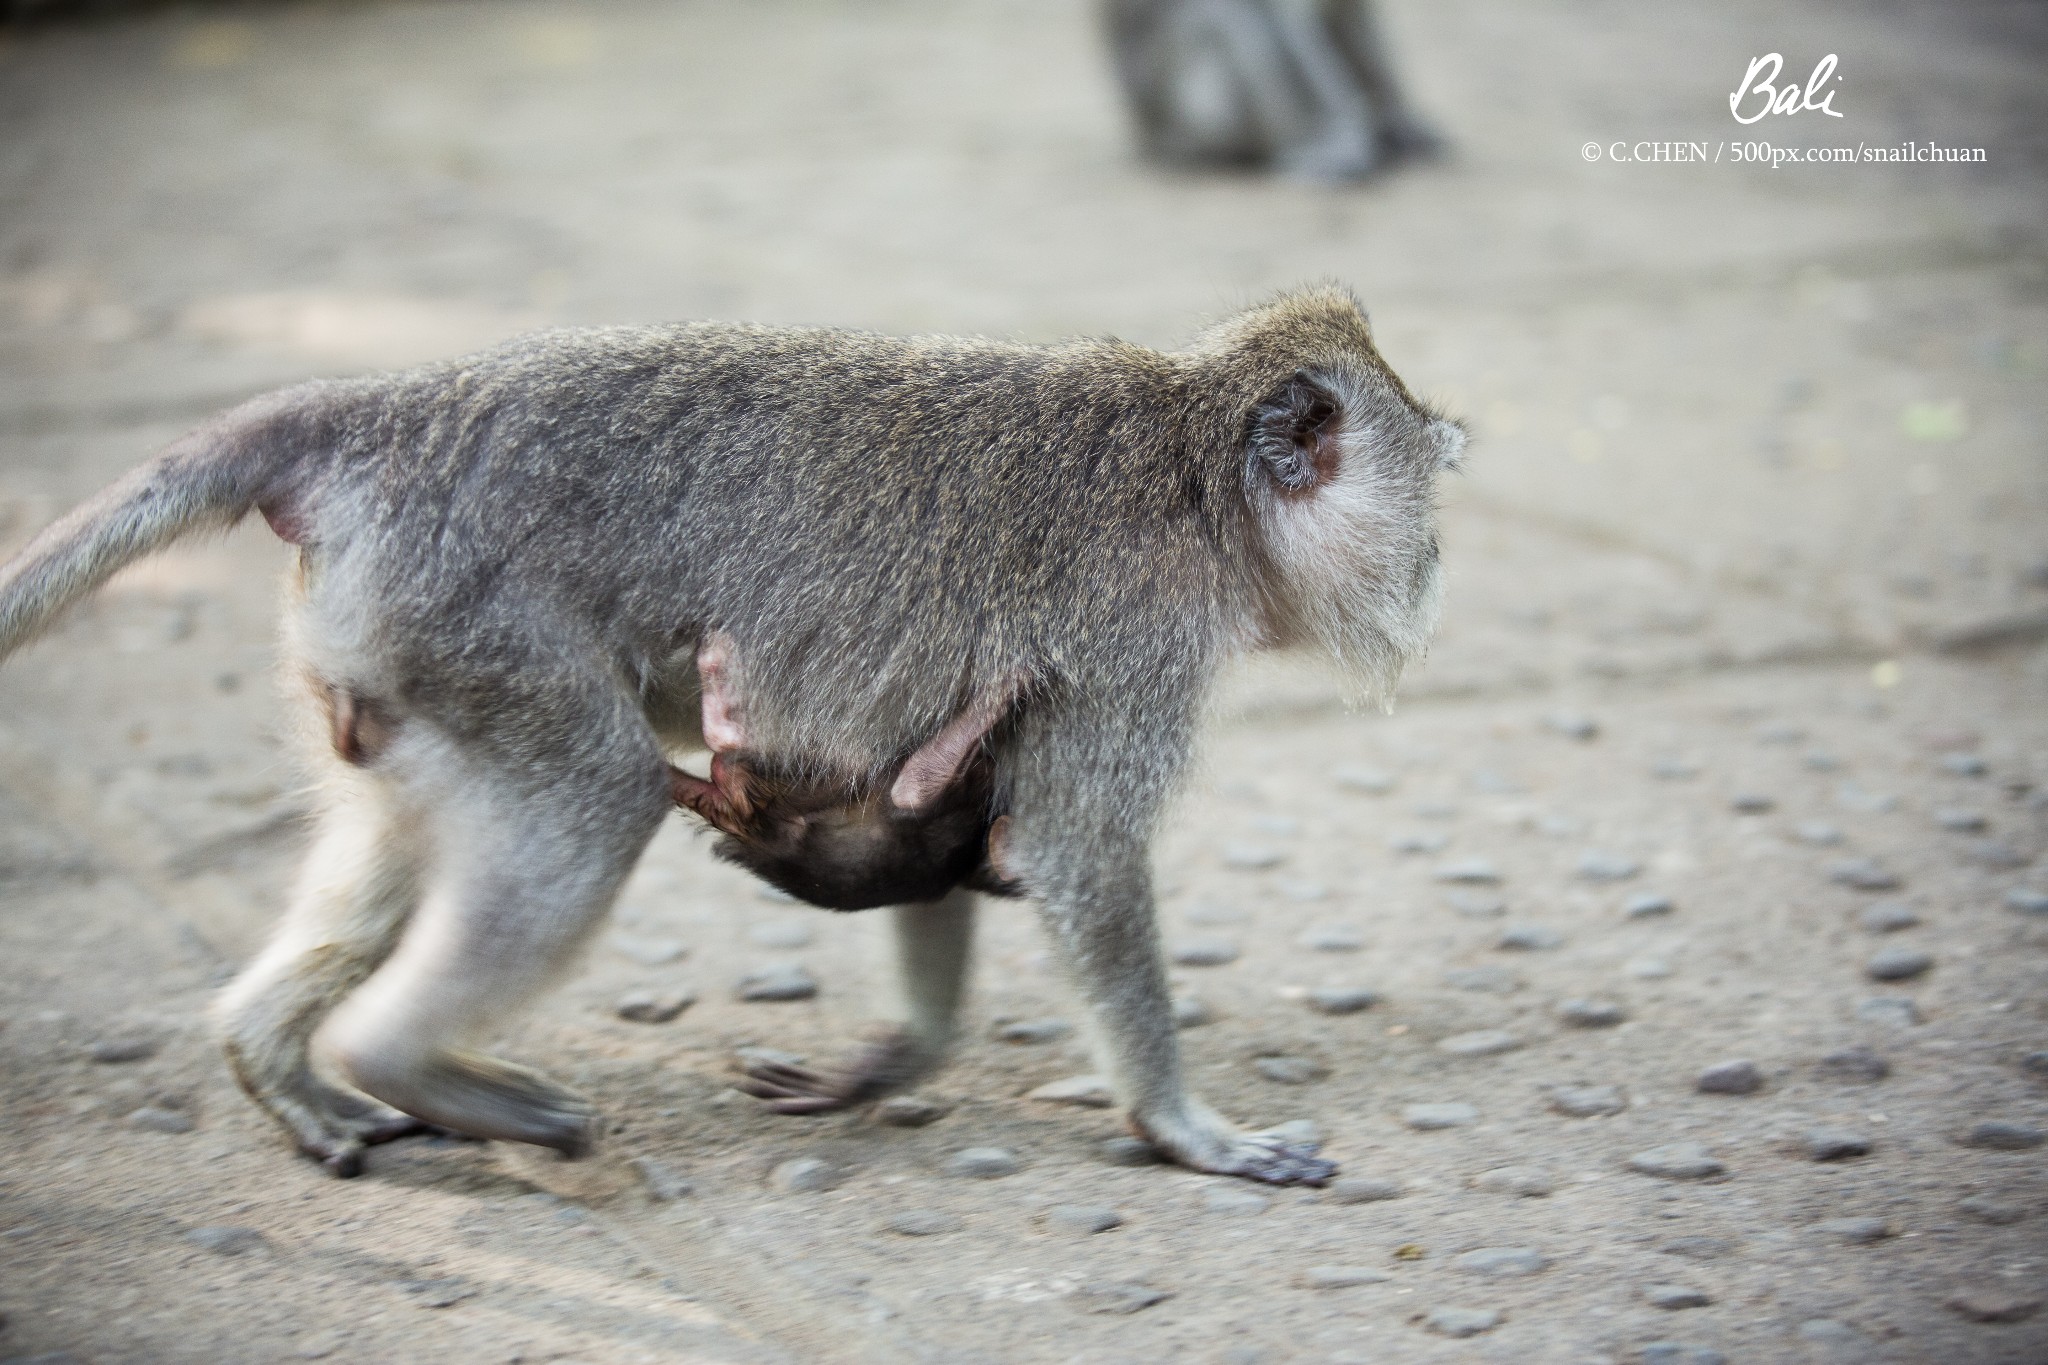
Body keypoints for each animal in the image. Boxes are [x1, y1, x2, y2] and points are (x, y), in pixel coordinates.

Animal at [0, 290, 1458, 1186]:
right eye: (1426, 505)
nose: (1437, 573)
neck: (1196, 482)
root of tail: (379, 415)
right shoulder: (1134, 650)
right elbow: (1078, 848)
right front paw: (1181, 1124)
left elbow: (938, 821)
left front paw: (896, 1059)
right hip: (473, 626)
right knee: (595, 795)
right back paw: (391, 1058)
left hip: (382, 656)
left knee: (407, 823)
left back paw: (274, 1057)